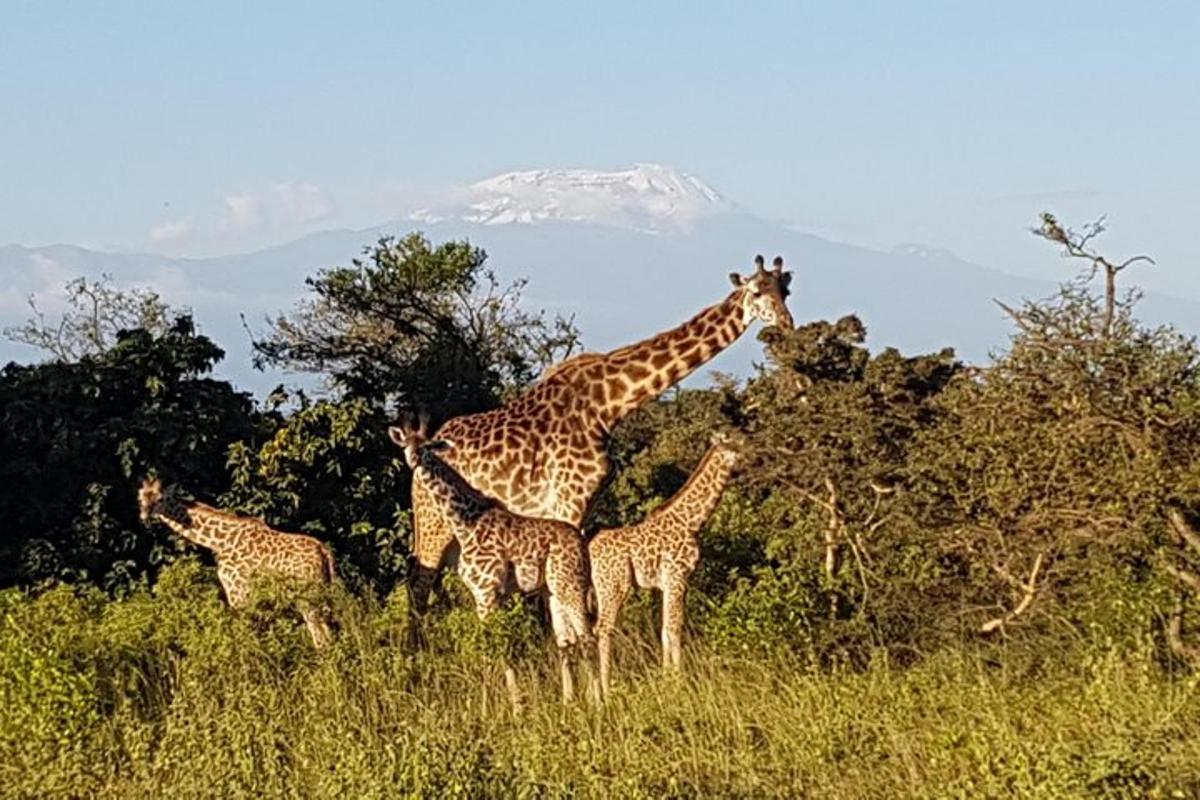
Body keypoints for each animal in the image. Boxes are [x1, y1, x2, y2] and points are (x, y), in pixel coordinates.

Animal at [138, 479, 340, 647]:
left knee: (320, 634)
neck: (219, 541)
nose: (144, 516)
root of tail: (324, 552)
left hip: (307, 596)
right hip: (324, 591)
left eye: (160, 499)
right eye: (140, 498)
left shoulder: (237, 589)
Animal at [388, 422, 590, 705]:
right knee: (566, 639)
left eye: (427, 446)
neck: (465, 522)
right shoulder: (480, 593)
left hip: (571, 584)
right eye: (405, 443)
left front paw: (511, 705)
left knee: (587, 636)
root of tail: (583, 543)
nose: (414, 459)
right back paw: (569, 700)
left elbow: (494, 645)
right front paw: (491, 704)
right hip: (553, 589)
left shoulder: (487, 590)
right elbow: (490, 645)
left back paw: (599, 699)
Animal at [412, 256, 796, 614]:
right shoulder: (567, 502)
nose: (786, 325)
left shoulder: (588, 504)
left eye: (785, 290)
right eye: (756, 291)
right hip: (434, 522)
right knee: (418, 584)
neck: (607, 405)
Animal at [588, 431, 744, 695]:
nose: (747, 467)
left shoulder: (666, 583)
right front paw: (680, 681)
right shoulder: (677, 577)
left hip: (601, 589)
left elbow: (663, 630)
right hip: (616, 586)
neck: (691, 522)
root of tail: (589, 552)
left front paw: (667, 677)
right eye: (737, 451)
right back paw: (607, 693)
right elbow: (675, 627)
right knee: (603, 629)